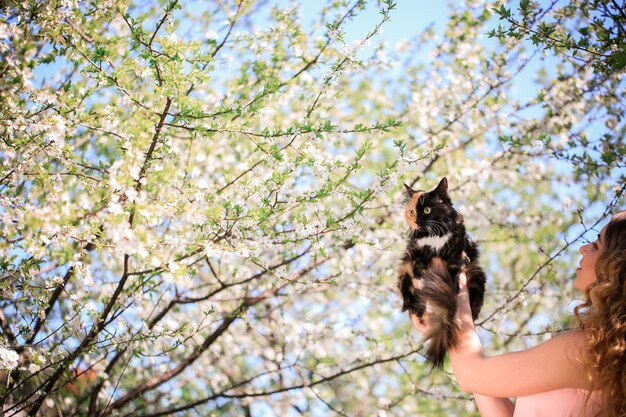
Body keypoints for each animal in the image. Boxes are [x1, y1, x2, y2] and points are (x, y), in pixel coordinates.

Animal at [398, 177, 486, 368]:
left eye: (427, 210)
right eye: (412, 212)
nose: (417, 222)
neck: (435, 237)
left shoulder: (459, 256)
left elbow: (453, 273)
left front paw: (451, 289)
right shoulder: (413, 255)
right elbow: (418, 269)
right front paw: (423, 284)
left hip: (477, 274)